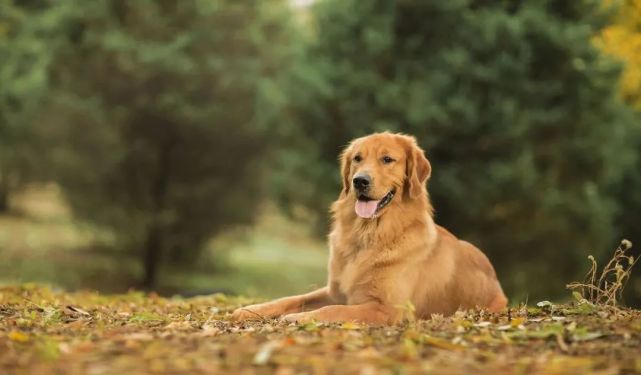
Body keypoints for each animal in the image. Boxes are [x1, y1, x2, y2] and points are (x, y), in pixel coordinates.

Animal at [230, 133, 504, 326]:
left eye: (387, 159)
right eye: (357, 159)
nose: (359, 181)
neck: (368, 235)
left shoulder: (387, 309)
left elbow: (333, 310)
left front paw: (300, 318)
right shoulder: (335, 291)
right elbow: (293, 298)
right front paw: (249, 310)